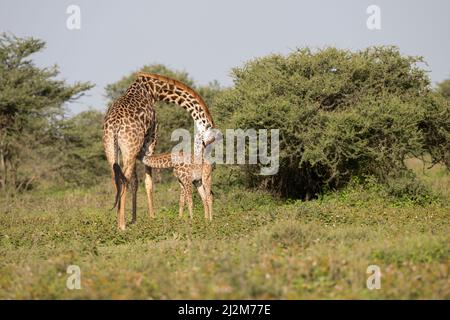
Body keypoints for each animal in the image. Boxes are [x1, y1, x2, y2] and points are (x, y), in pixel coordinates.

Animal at [103, 73, 216, 230]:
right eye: (208, 141)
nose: (201, 159)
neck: (154, 90)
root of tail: (115, 125)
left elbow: (136, 182)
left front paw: (135, 219)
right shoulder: (152, 136)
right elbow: (148, 181)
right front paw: (152, 217)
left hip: (111, 148)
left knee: (118, 181)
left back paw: (119, 222)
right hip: (129, 148)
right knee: (123, 180)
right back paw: (122, 225)